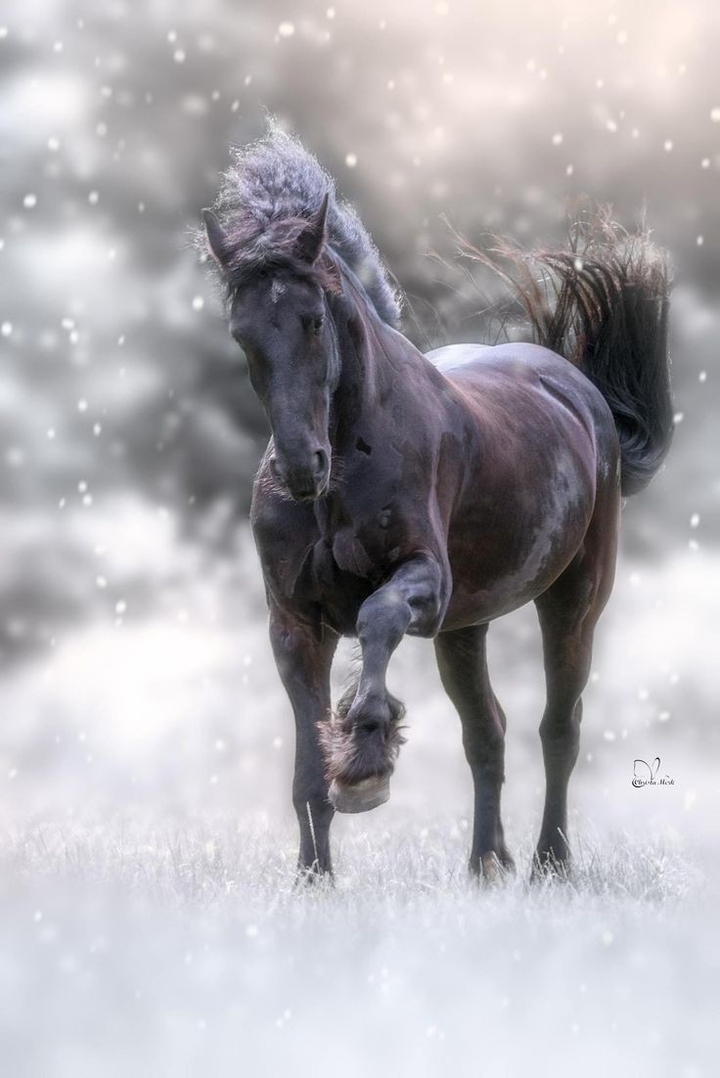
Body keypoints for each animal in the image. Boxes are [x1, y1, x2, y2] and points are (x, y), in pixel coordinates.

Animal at [198, 125, 673, 881]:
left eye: (312, 321)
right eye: (243, 334)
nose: (302, 467)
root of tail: (576, 385)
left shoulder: (425, 582)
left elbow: (377, 620)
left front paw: (367, 754)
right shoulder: (294, 623)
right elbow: (308, 768)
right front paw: (314, 880)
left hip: (573, 600)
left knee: (558, 730)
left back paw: (549, 863)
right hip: (464, 630)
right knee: (489, 733)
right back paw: (485, 864)